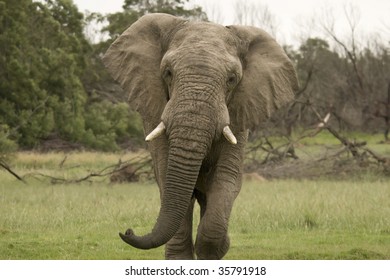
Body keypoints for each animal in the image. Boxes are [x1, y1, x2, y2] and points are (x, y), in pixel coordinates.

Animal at [102, 12, 298, 258]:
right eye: (167, 73)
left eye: (232, 79)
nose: (127, 231)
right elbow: (168, 177)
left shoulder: (240, 115)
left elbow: (225, 177)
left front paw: (218, 248)